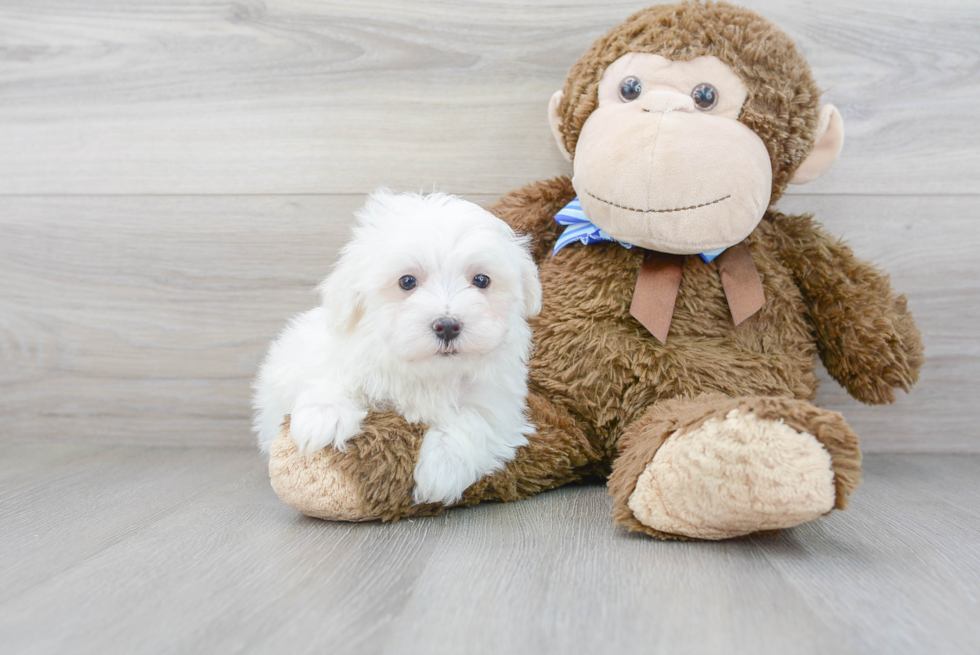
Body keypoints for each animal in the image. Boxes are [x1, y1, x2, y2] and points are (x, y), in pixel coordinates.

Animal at [251, 190, 544, 508]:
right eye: (407, 281)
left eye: (481, 280)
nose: (447, 326)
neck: (429, 372)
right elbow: (331, 379)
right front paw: (324, 418)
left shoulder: (498, 403)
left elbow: (473, 421)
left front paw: (441, 469)